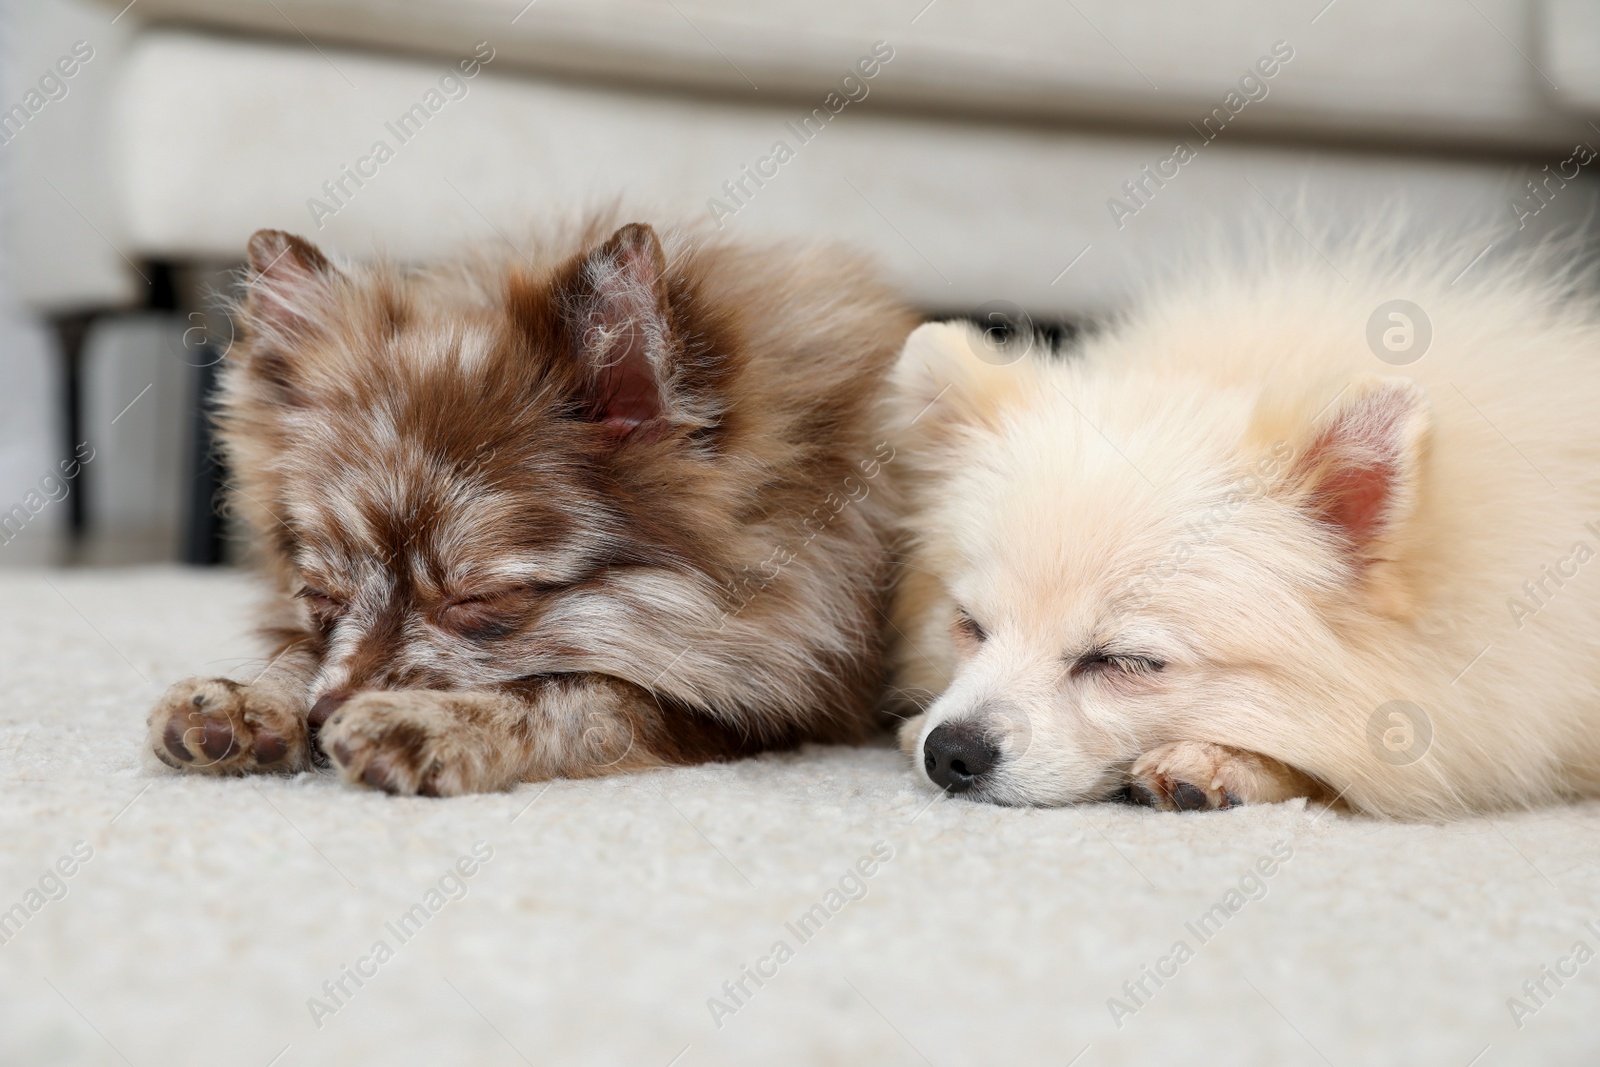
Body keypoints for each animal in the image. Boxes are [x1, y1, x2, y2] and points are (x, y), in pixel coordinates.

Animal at [156, 219, 921, 793]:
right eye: (319, 595)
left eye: (480, 600)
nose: (322, 718)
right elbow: (296, 650)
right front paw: (253, 695)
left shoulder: (768, 702)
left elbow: (580, 690)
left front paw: (431, 721)